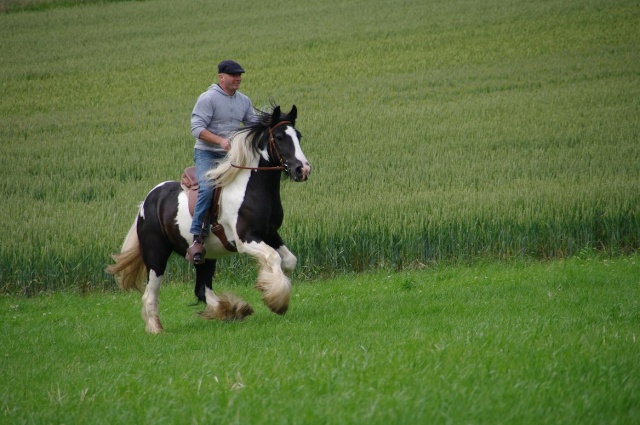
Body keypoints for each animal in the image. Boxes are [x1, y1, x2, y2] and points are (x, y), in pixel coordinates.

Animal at [106, 104, 312, 332]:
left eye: (298, 136)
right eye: (279, 137)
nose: (303, 169)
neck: (251, 189)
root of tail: (148, 201)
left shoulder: (270, 234)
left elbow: (288, 260)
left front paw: (268, 288)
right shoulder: (246, 240)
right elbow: (273, 257)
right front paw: (277, 301)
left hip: (203, 256)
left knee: (202, 288)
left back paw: (230, 310)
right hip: (156, 255)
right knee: (150, 294)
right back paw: (156, 328)